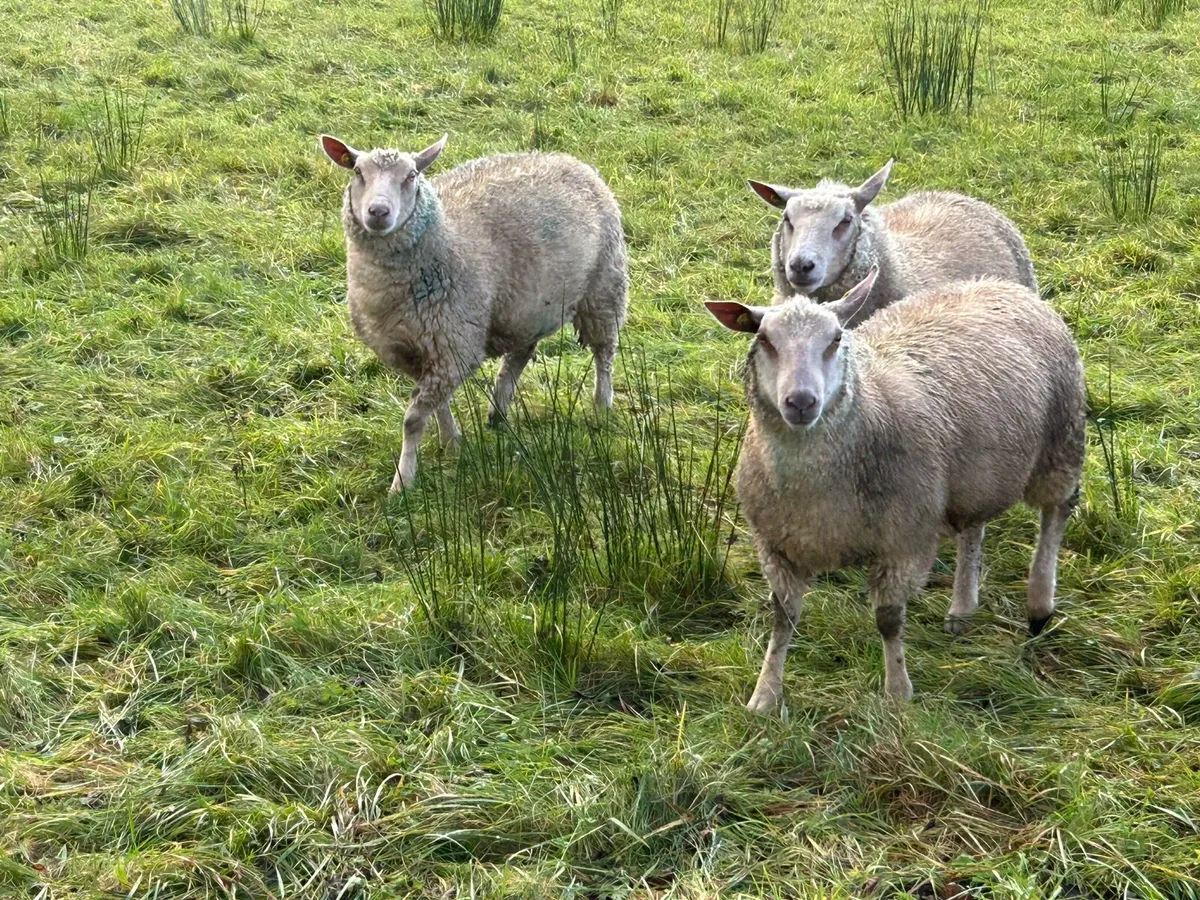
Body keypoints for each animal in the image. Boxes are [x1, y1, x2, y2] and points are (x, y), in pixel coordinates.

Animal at [320, 134, 629, 492]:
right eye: (357, 171)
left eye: (411, 176)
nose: (378, 212)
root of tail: (569, 159)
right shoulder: (415, 352)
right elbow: (437, 405)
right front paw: (451, 441)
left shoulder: (456, 346)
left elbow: (413, 419)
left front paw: (403, 482)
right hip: (525, 305)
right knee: (519, 356)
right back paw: (497, 413)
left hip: (604, 288)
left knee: (604, 352)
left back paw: (601, 405)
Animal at [705, 270, 1086, 710]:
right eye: (765, 339)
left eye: (836, 338)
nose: (801, 402)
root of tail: (998, 283)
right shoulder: (778, 547)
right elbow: (782, 619)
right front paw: (765, 696)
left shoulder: (903, 540)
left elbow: (888, 621)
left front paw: (898, 695)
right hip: (970, 478)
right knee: (974, 529)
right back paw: (962, 607)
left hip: (1061, 442)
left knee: (1056, 513)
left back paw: (1039, 605)